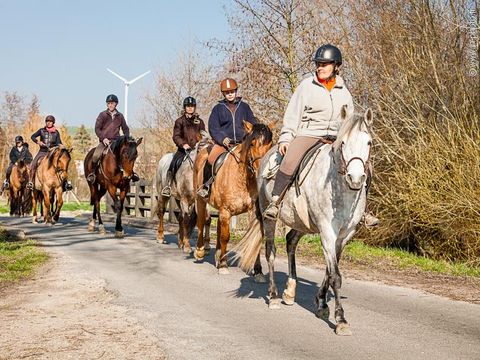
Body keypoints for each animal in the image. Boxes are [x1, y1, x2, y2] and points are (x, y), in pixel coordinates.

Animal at [192, 121, 274, 276]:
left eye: (270, 145)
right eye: (252, 144)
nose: (261, 171)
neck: (243, 178)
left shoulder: (251, 212)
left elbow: (253, 239)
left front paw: (258, 271)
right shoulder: (226, 210)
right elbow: (225, 237)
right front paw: (224, 265)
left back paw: (218, 256)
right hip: (201, 200)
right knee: (200, 222)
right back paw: (200, 251)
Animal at [234, 108, 374, 336]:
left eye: (368, 142)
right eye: (343, 142)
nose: (355, 178)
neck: (339, 186)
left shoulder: (344, 236)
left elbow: (330, 270)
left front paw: (321, 303)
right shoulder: (327, 231)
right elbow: (335, 275)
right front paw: (341, 319)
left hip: (302, 223)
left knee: (291, 240)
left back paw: (290, 291)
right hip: (268, 217)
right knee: (270, 252)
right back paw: (274, 296)